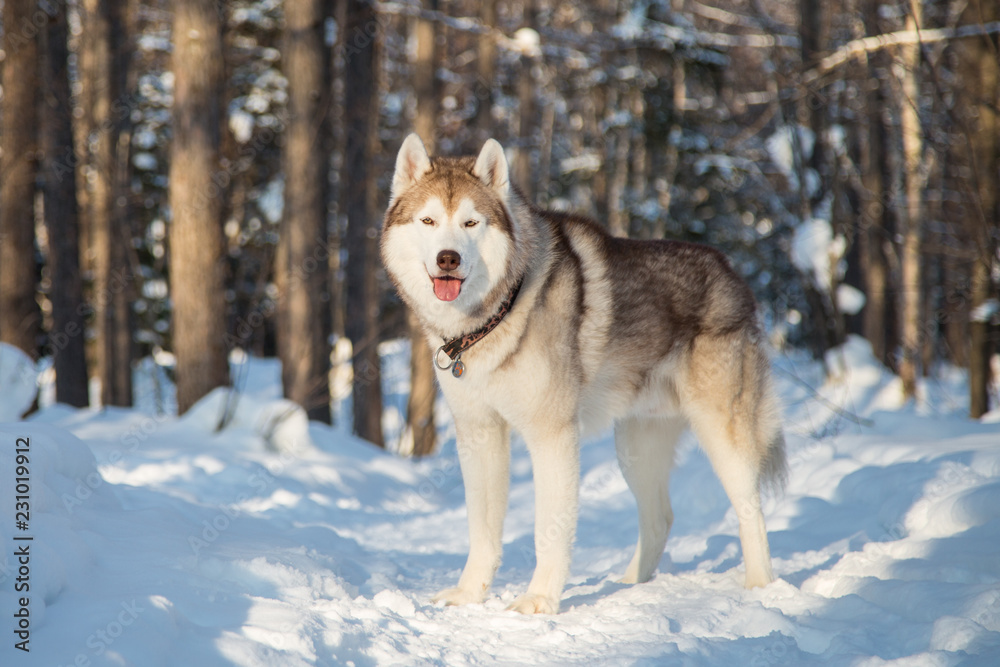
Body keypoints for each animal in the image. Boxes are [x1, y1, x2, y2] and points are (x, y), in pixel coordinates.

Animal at [378, 136, 784, 616]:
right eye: (428, 220)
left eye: (471, 222)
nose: (448, 258)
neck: (496, 316)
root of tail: (735, 275)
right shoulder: (479, 434)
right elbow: (482, 531)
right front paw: (468, 594)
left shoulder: (551, 436)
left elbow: (547, 530)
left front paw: (538, 600)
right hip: (635, 447)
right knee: (660, 518)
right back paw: (629, 586)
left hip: (722, 435)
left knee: (751, 510)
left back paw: (760, 588)